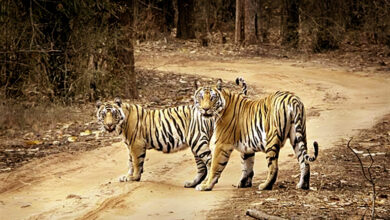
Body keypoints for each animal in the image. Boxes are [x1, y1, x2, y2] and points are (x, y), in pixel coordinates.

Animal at [95, 81, 247, 186]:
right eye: (103, 115)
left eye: (113, 114)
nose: (109, 125)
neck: (122, 124)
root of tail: (210, 112)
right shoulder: (129, 146)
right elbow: (130, 162)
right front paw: (127, 176)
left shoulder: (136, 144)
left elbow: (137, 162)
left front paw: (134, 178)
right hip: (196, 144)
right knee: (202, 167)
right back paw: (192, 183)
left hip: (198, 142)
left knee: (210, 161)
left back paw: (207, 183)